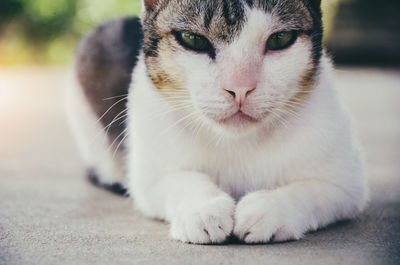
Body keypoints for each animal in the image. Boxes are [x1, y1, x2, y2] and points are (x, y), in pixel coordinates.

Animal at [65, 0, 368, 243]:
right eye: (193, 39)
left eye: (280, 39)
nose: (240, 88)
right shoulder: (147, 175)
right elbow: (178, 180)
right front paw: (203, 209)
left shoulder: (347, 185)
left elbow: (313, 191)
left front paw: (269, 208)